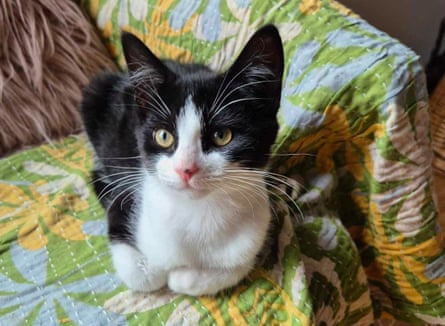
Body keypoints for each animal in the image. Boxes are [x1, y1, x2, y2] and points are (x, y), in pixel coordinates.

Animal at [81, 25, 282, 296]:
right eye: (163, 136)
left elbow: (234, 268)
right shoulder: (128, 192)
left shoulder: (254, 231)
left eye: (222, 135)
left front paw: (182, 276)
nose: (185, 169)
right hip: (94, 96)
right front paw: (157, 270)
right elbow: (144, 276)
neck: (199, 214)